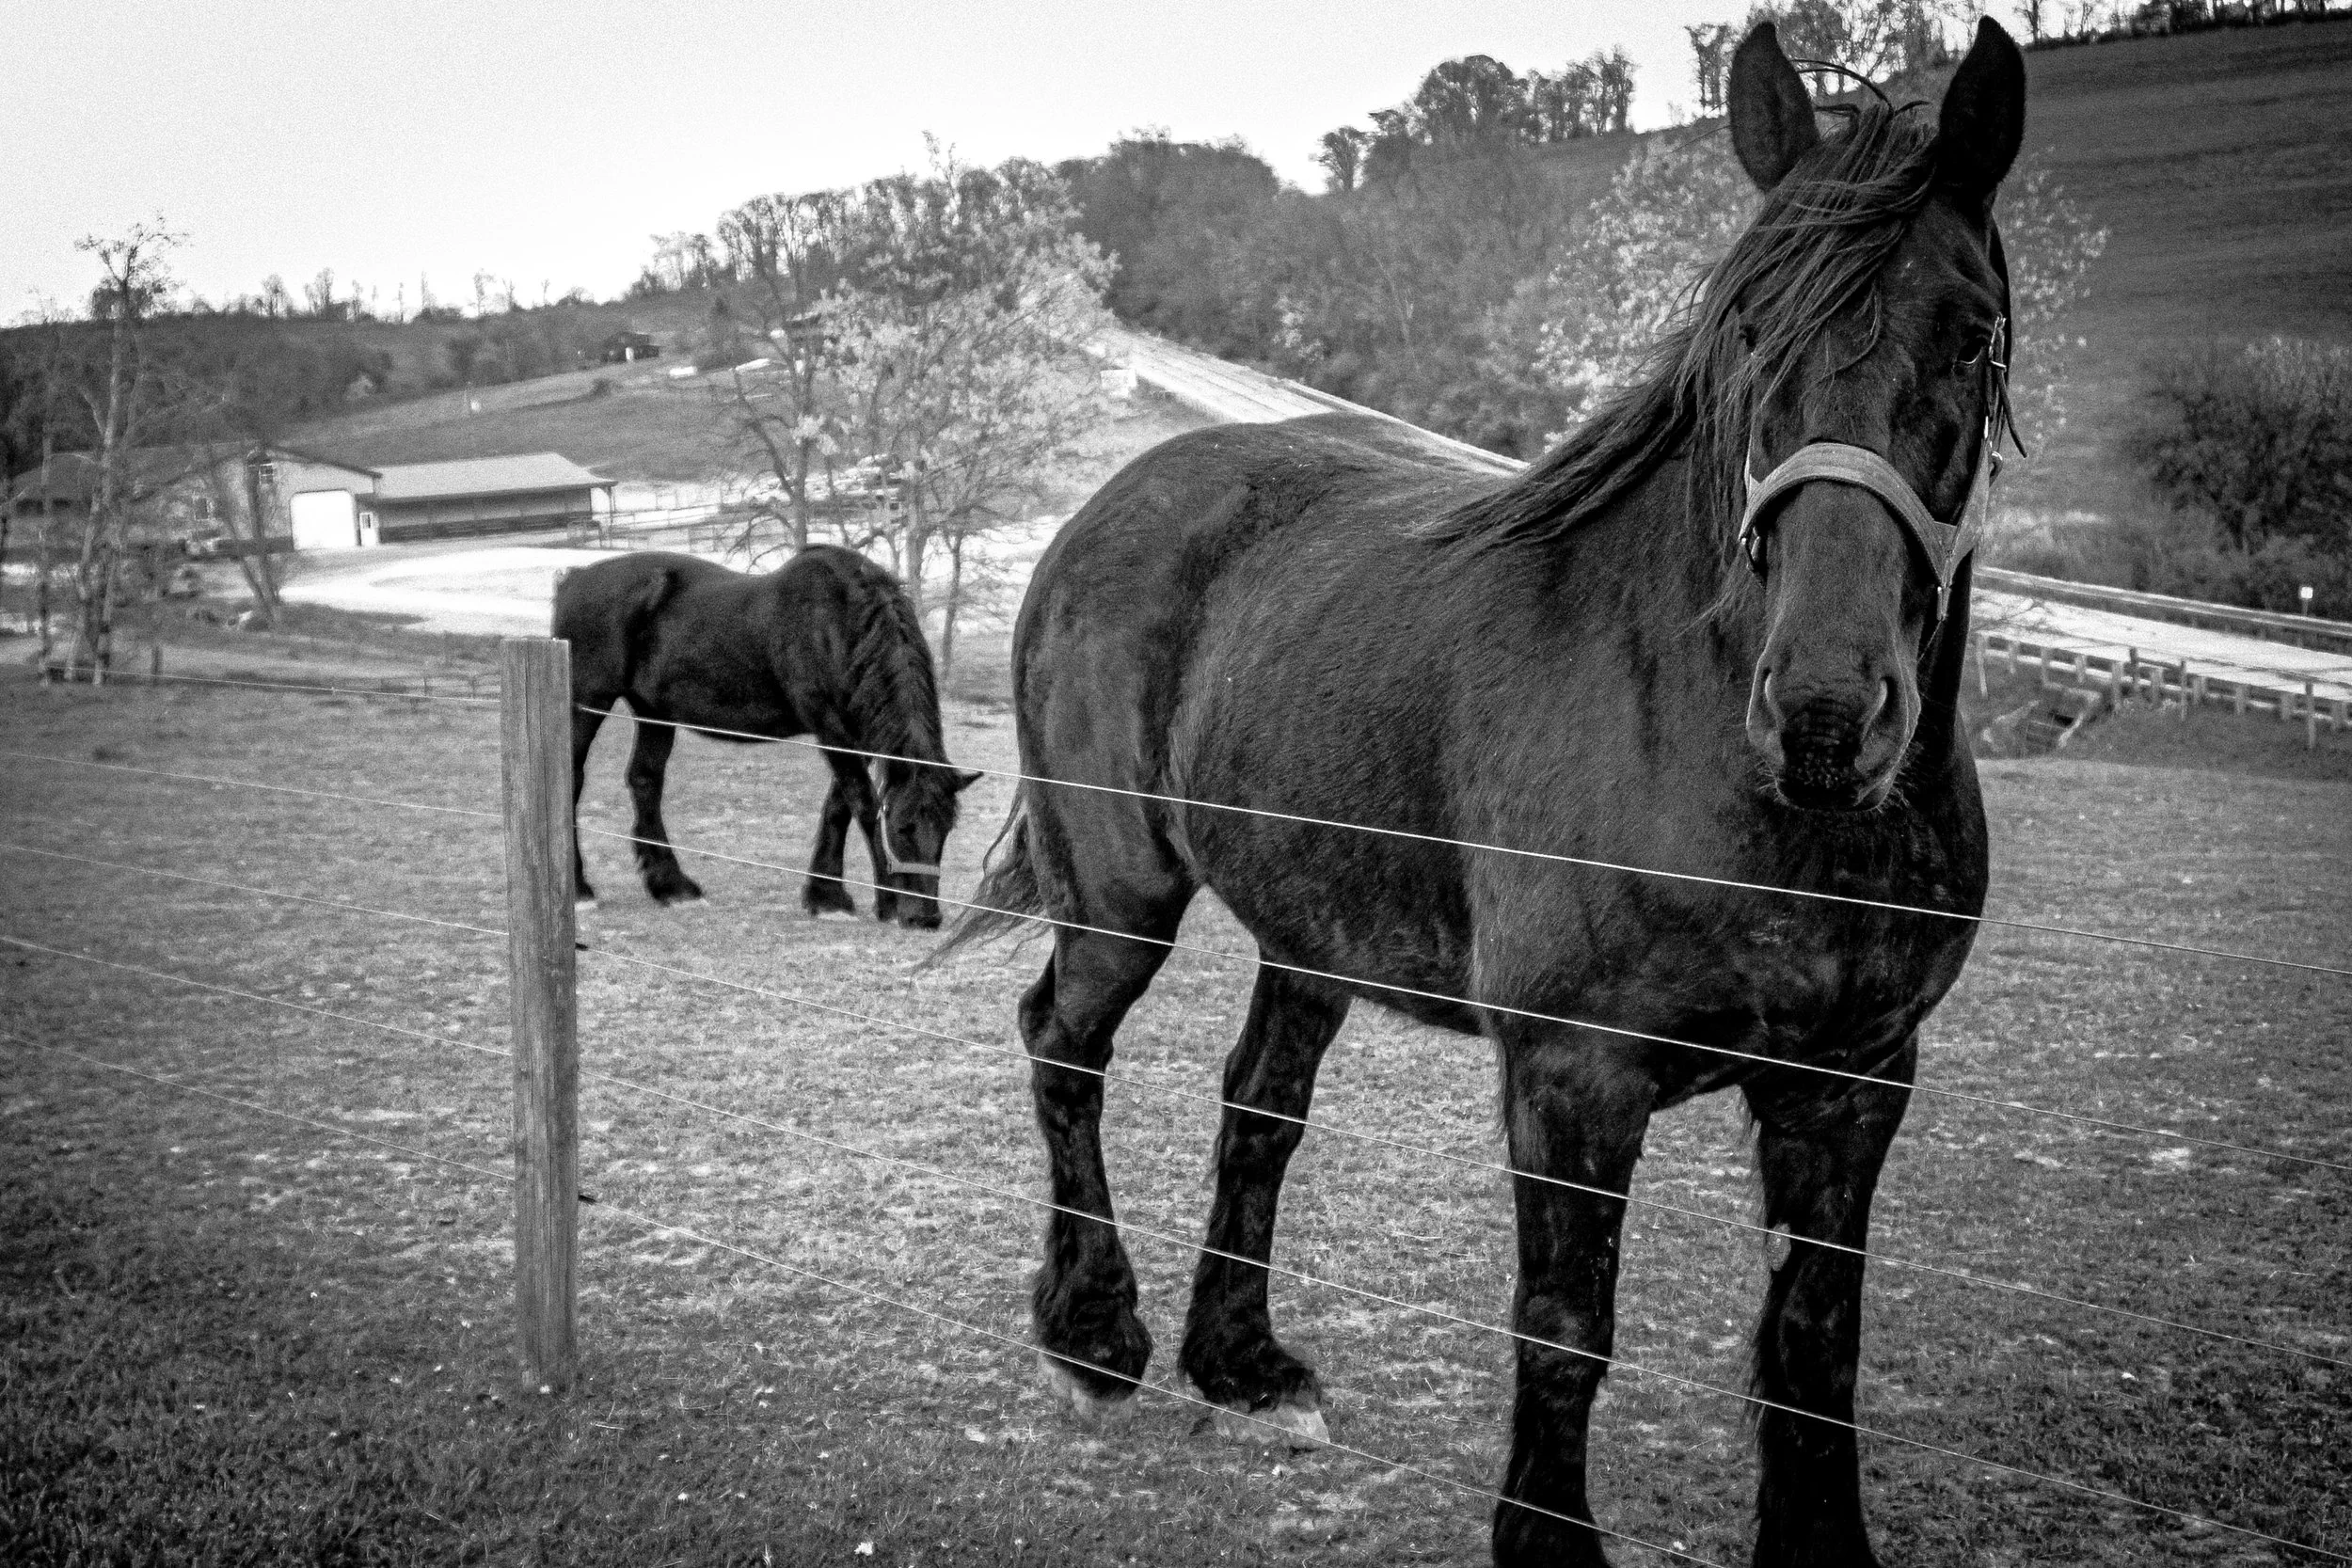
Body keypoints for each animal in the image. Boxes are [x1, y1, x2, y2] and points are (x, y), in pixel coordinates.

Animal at [553, 544, 977, 929]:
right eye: (902, 828)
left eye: (946, 829)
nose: (926, 917)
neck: (839, 624)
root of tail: (575, 578)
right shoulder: (832, 729)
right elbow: (863, 804)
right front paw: (882, 902)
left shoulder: (857, 735)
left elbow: (838, 806)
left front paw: (826, 898)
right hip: (586, 703)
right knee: (572, 780)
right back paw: (581, 891)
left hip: (653, 712)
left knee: (645, 781)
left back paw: (674, 887)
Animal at [942, 22, 2023, 1565]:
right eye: (1747, 330)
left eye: (1971, 331)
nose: (1826, 710)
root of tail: (1116, 498)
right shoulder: (1575, 1076)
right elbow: (1567, 1327)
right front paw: (1546, 1536)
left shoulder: (1856, 1080)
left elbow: (1816, 1344)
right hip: (1119, 898)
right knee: (1062, 1048)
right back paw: (1094, 1332)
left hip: (1311, 929)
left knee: (1257, 1106)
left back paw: (1239, 1357)